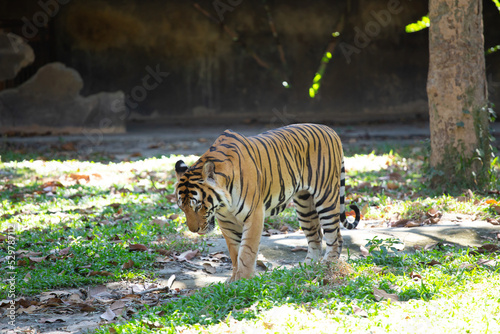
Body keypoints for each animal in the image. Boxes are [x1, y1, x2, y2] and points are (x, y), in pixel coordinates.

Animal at [175, 122, 360, 282]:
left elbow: (247, 251)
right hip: (304, 204)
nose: (193, 230)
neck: (224, 204)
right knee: (316, 237)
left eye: (198, 206)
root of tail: (330, 129)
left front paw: (243, 280)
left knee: (335, 236)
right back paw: (307, 268)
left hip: (326, 197)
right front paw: (234, 279)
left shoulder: (254, 214)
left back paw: (328, 266)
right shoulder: (226, 221)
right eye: (182, 208)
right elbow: (235, 252)